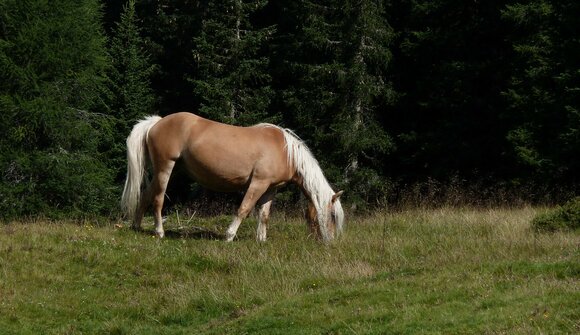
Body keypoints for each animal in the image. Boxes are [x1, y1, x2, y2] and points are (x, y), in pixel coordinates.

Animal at [119, 112, 342, 242]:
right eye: (332, 216)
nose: (330, 242)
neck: (284, 151)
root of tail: (156, 123)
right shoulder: (258, 184)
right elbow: (244, 209)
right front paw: (229, 236)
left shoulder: (271, 188)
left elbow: (264, 215)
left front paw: (261, 240)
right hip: (165, 168)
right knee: (157, 200)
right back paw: (159, 232)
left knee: (146, 195)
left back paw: (137, 226)